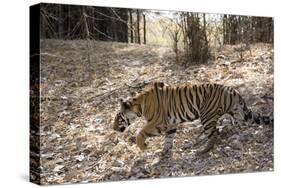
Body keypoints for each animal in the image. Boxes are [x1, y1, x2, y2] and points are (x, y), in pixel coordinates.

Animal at [112, 82, 272, 154]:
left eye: (118, 118)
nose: (113, 128)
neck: (139, 106)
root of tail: (232, 90)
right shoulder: (171, 124)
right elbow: (169, 139)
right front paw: (164, 152)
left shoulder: (159, 122)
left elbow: (141, 132)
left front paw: (143, 147)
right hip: (239, 113)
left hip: (207, 116)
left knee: (214, 134)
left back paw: (202, 150)